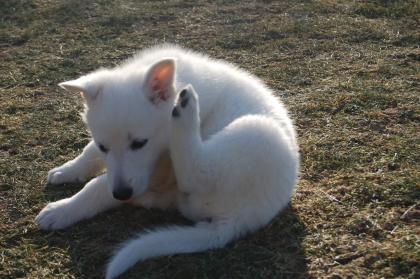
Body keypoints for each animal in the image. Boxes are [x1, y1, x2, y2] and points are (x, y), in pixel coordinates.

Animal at [35, 44, 298, 278]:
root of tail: (239, 220)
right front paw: (68, 170)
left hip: (258, 132)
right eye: (104, 147)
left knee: (196, 173)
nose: (121, 193)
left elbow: (97, 185)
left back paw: (186, 110)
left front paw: (63, 208)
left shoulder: (158, 169)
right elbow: (90, 153)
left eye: (140, 143)